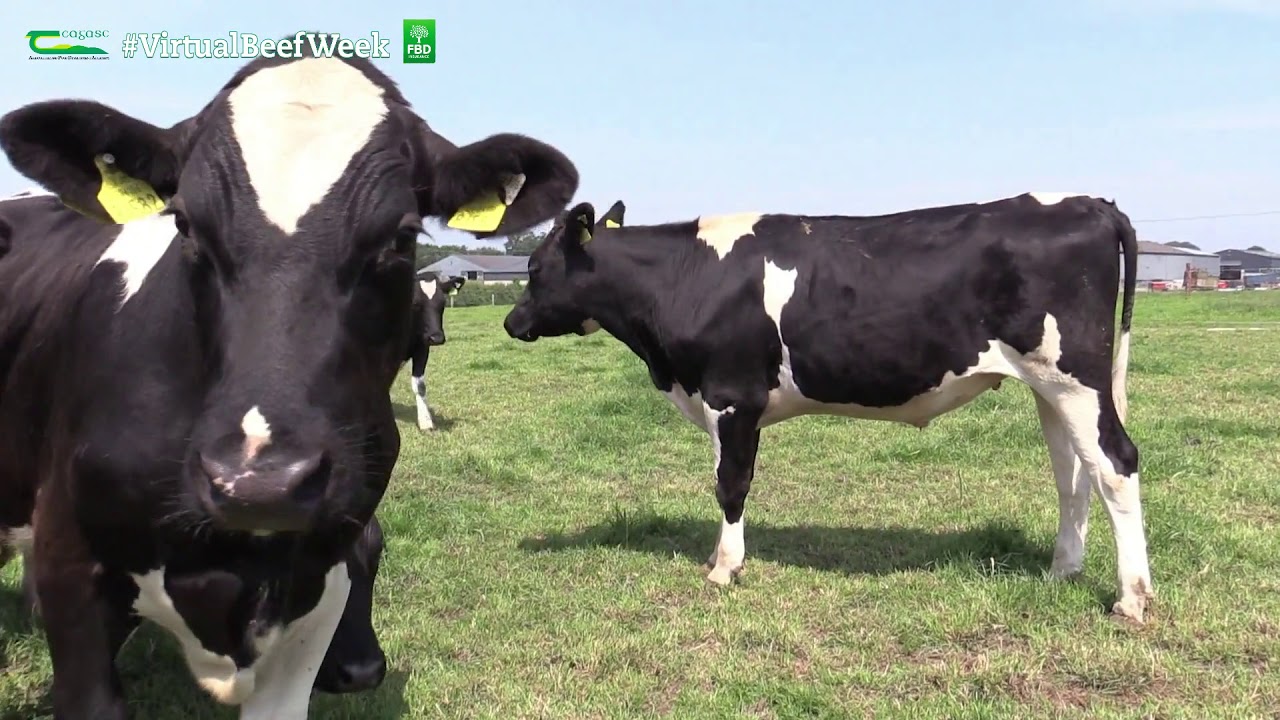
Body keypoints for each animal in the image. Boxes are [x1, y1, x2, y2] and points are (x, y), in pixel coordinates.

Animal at [405, 272, 465, 431]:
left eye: (443, 302)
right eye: (415, 303)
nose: (436, 337)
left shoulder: (422, 349)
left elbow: (420, 386)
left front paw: (426, 422)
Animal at [502, 192, 1155, 624]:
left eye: (534, 267)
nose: (511, 322)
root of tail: (1087, 201)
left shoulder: (733, 397)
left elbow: (730, 485)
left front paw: (724, 567)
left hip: (1075, 379)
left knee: (1116, 465)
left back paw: (1131, 597)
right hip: (1051, 387)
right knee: (1074, 476)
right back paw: (1062, 569)